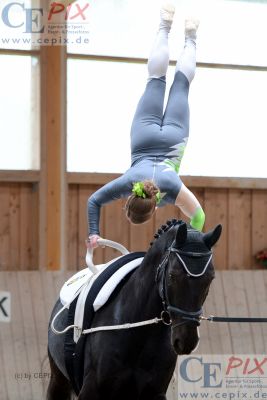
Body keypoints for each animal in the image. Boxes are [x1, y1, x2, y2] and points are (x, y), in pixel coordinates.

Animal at [47, 220, 222, 398]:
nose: (187, 340)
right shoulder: (91, 390)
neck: (138, 331)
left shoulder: (155, 392)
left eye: (211, 277)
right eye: (172, 275)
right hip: (58, 380)